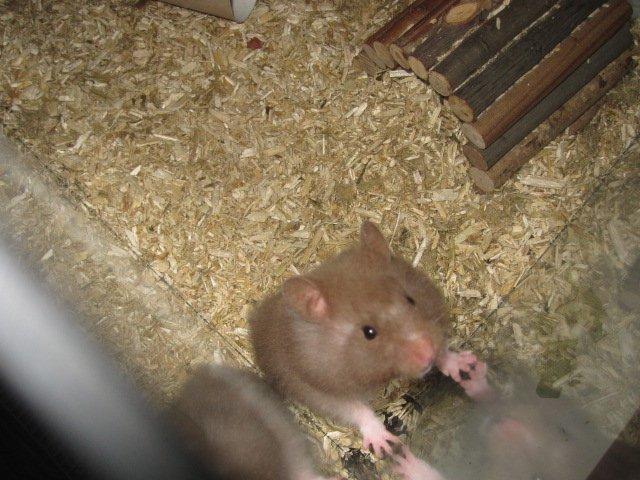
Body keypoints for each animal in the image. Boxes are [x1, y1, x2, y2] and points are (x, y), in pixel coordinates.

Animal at [249, 221, 480, 471]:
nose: (426, 354)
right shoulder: (316, 386)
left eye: (410, 299)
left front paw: (465, 365)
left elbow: (443, 351)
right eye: (369, 332)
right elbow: (355, 409)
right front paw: (386, 445)